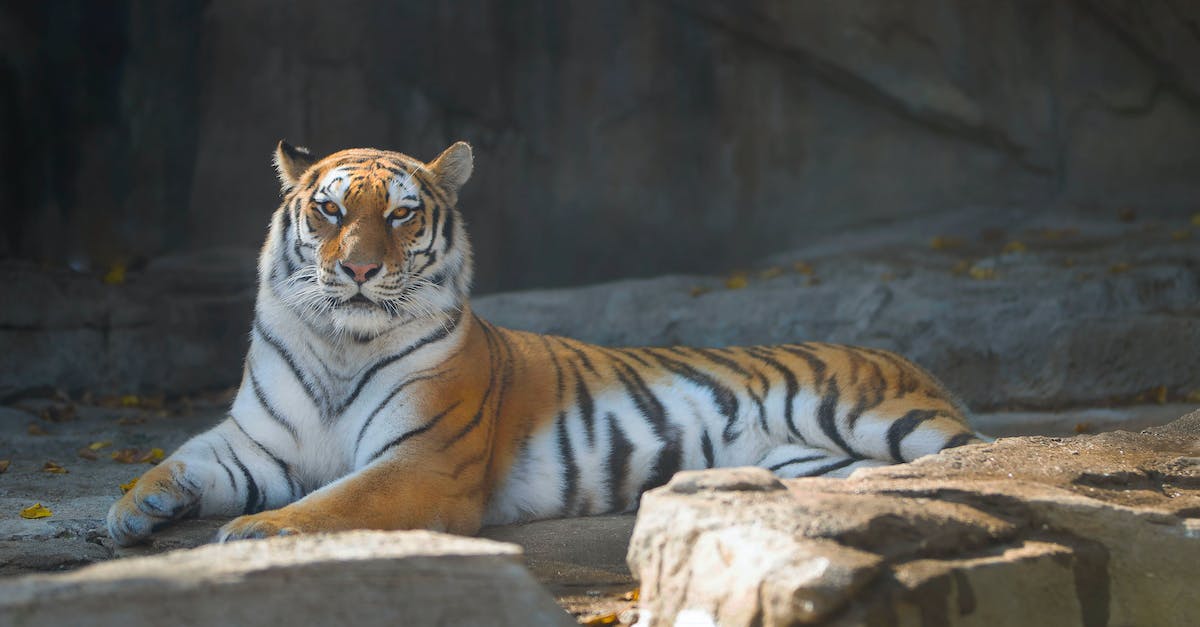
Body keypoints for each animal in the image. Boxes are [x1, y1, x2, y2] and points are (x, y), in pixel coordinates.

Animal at [106, 140, 983, 545]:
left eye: (399, 213)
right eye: (327, 209)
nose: (356, 268)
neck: (339, 344)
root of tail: (902, 357)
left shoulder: (423, 461)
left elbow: (340, 499)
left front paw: (258, 532)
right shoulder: (255, 442)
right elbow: (181, 458)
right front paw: (132, 509)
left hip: (884, 417)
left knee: (972, 451)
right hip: (819, 463)